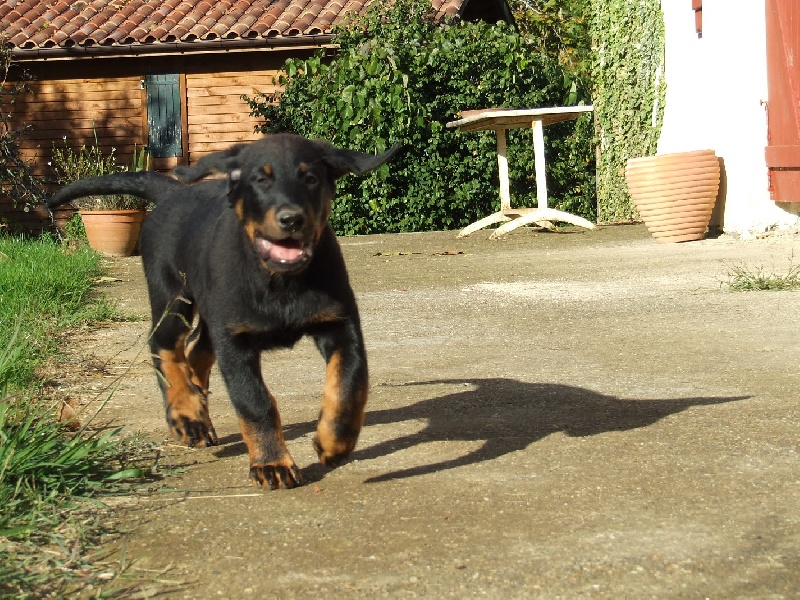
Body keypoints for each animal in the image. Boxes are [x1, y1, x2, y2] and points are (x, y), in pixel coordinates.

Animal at [50, 134, 400, 490]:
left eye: (311, 179)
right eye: (260, 180)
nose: (292, 219)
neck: (280, 281)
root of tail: (174, 191)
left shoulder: (340, 324)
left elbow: (349, 384)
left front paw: (334, 441)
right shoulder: (234, 341)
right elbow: (254, 401)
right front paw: (272, 462)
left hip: (212, 310)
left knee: (196, 350)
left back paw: (197, 405)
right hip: (173, 296)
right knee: (165, 345)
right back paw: (187, 414)